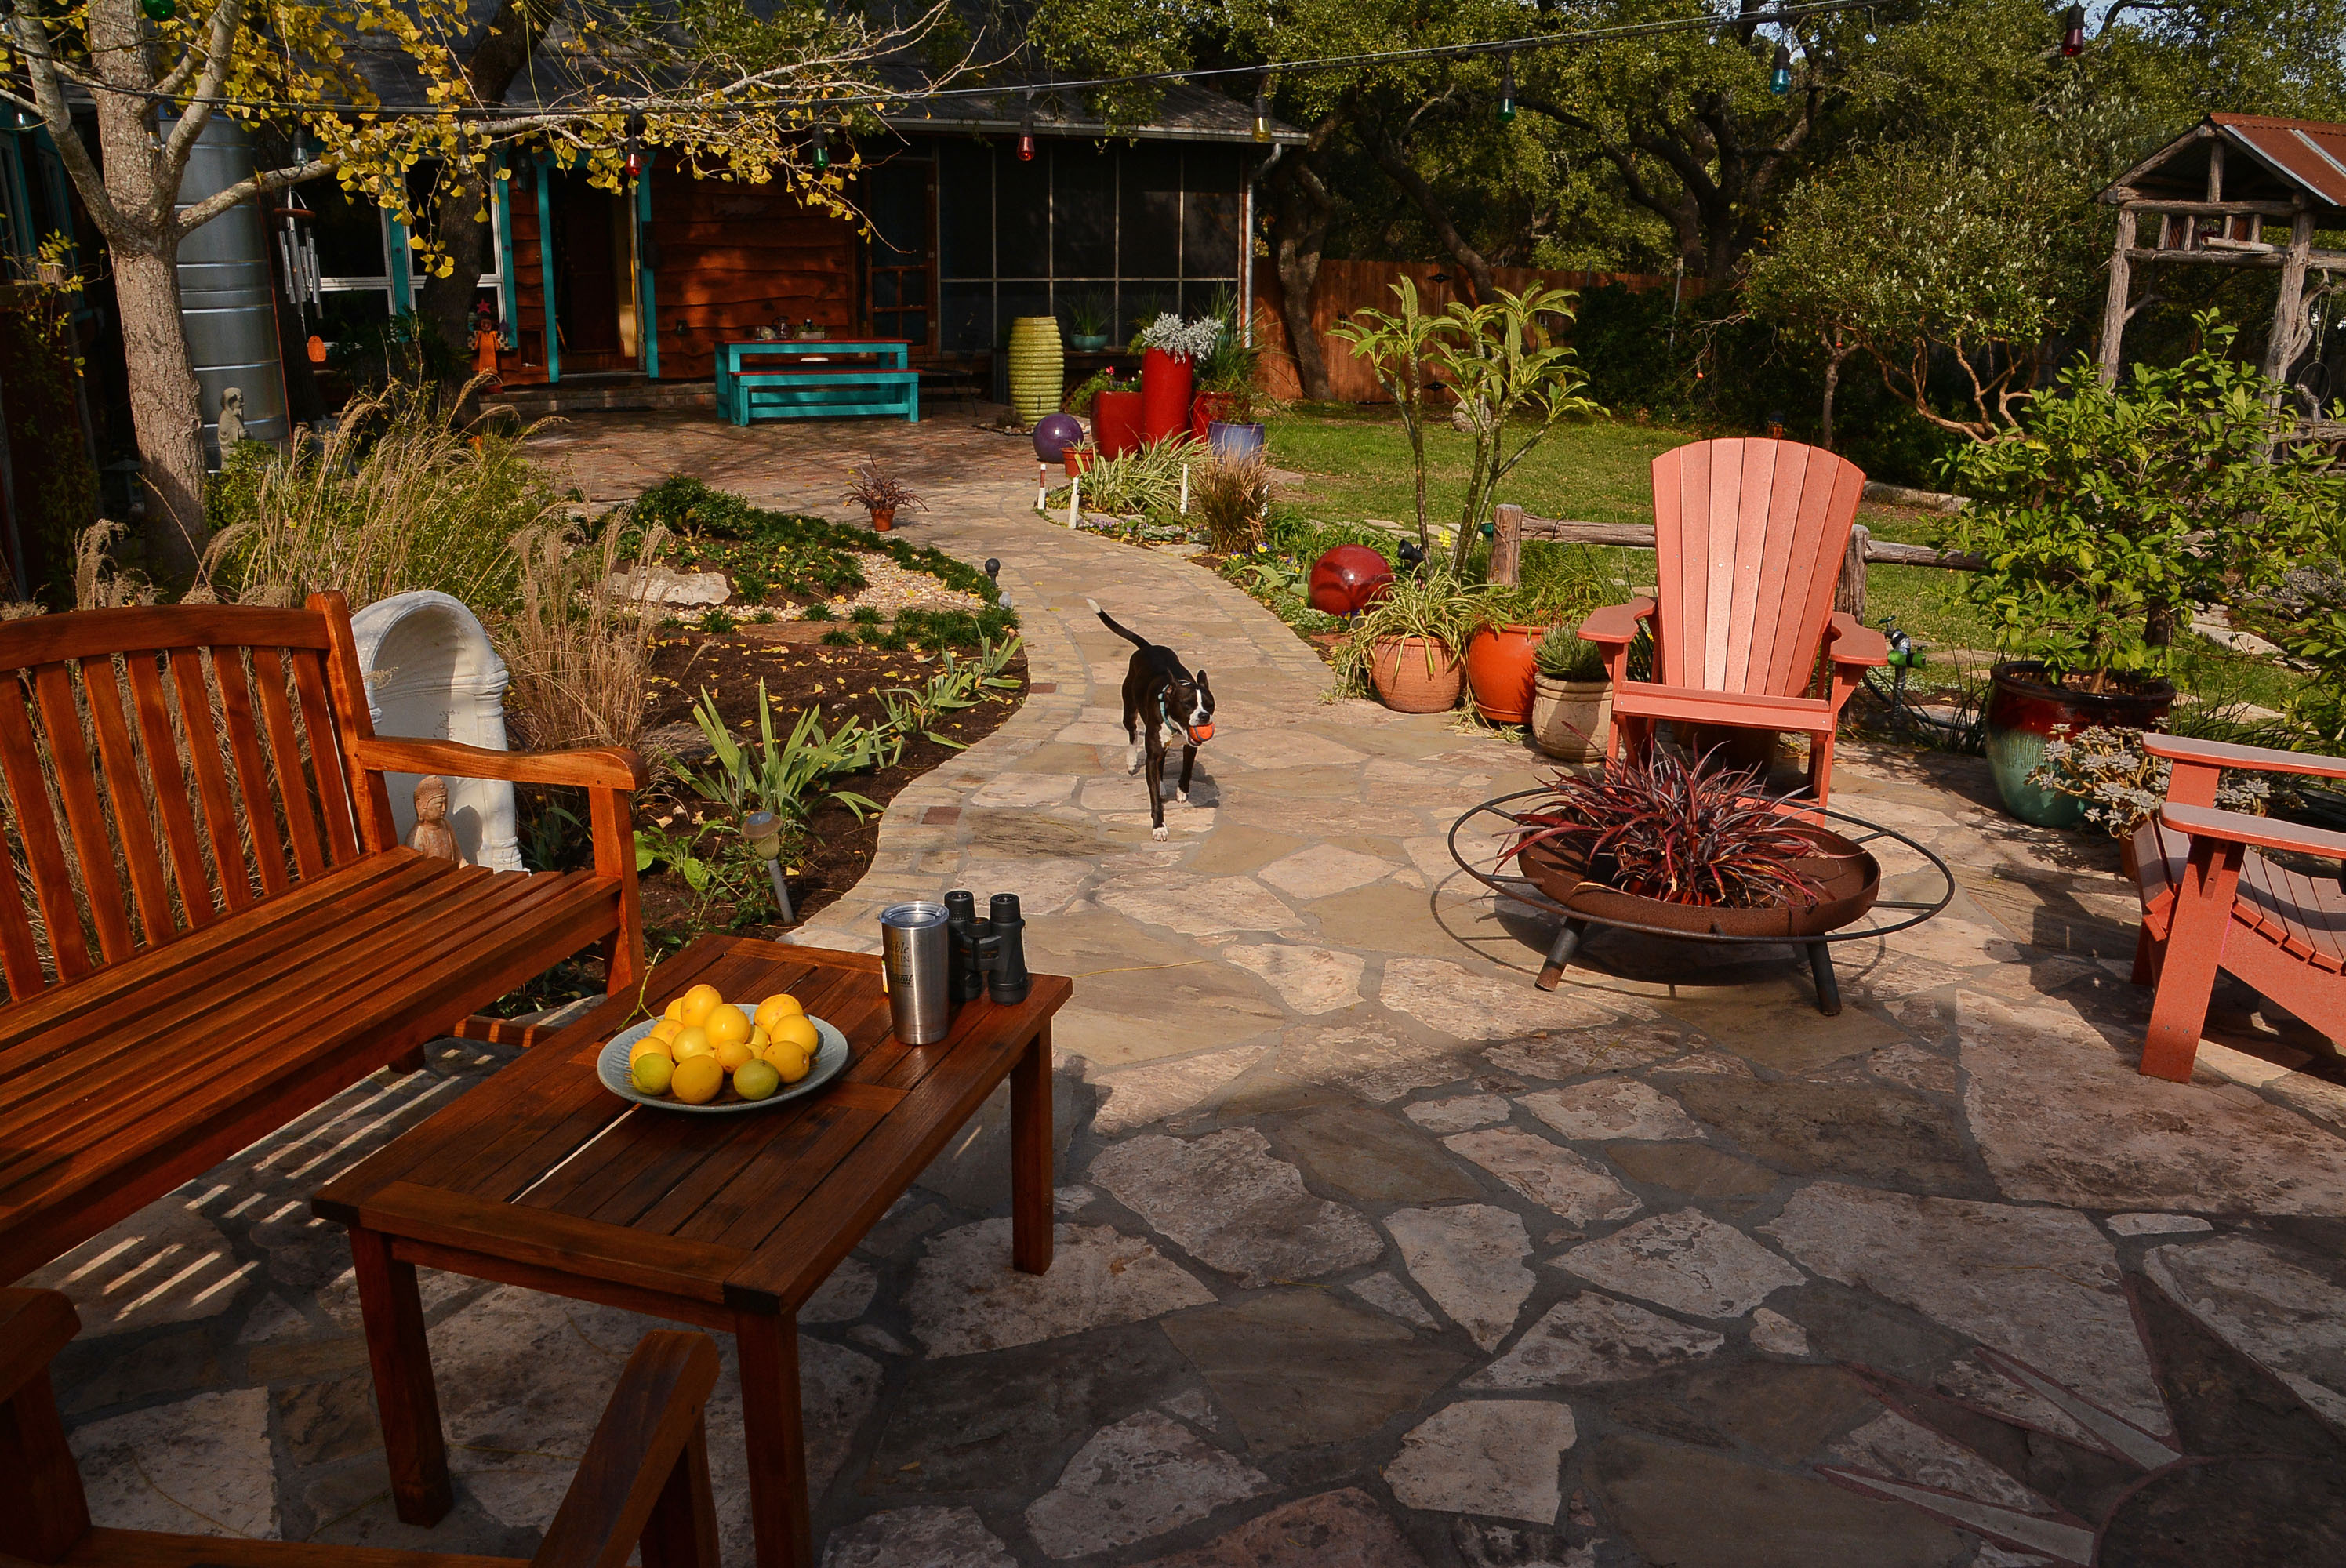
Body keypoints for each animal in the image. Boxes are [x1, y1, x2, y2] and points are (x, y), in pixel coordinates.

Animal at [1088, 596, 1219, 840]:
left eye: (1210, 705)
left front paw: (1181, 791)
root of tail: (1148, 648)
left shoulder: (1190, 745)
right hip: (1129, 709)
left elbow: (1187, 769)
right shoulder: (1152, 754)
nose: (1204, 716)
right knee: (1131, 734)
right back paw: (1132, 762)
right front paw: (1159, 826)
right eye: (1188, 704)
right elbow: (1154, 795)